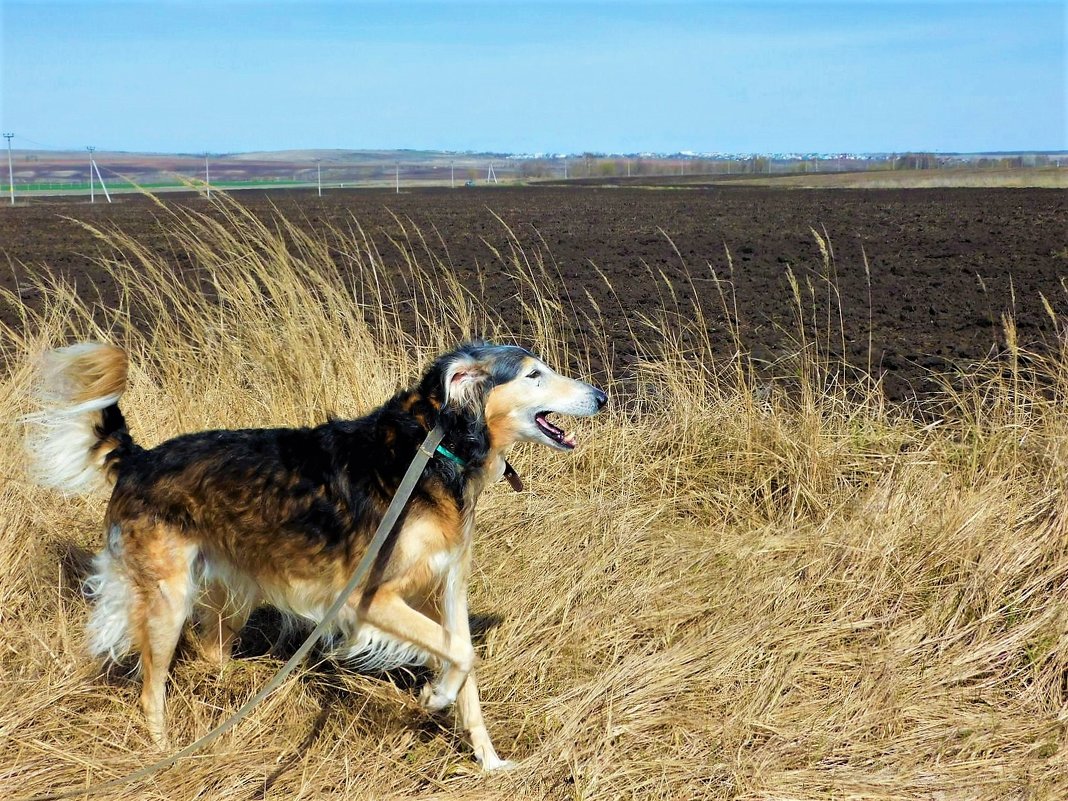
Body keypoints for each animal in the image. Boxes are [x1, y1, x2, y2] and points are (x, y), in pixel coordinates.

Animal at [25, 343, 606, 773]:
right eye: (534, 375)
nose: (601, 396)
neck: (434, 447)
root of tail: (138, 458)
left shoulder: (447, 591)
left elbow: (467, 666)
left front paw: (490, 762)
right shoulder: (369, 601)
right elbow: (461, 656)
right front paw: (435, 697)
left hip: (228, 597)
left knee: (209, 653)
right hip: (168, 601)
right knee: (151, 692)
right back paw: (167, 754)